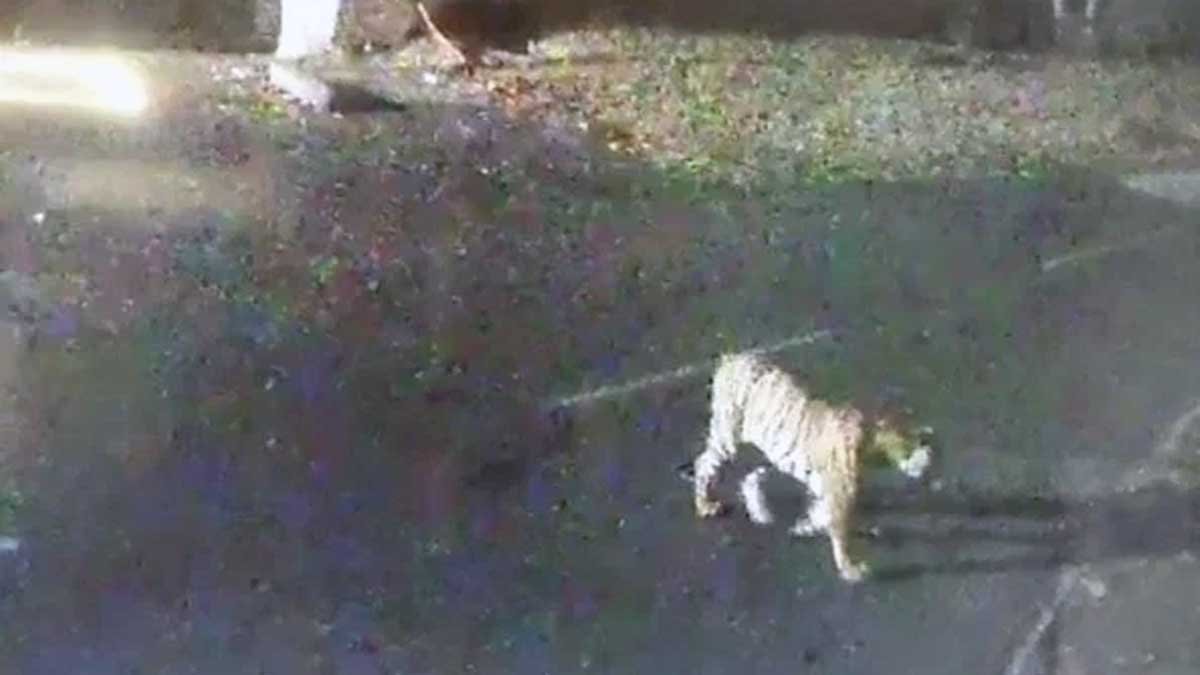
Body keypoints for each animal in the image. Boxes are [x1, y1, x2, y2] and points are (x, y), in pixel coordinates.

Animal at [691, 352, 934, 583]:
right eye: (911, 440)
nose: (929, 454)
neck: (870, 442)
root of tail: (731, 358)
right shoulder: (840, 491)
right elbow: (838, 529)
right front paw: (850, 570)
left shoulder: (827, 487)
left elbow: (821, 513)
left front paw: (804, 526)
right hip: (728, 438)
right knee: (703, 463)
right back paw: (706, 505)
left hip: (768, 452)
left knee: (750, 477)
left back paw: (760, 513)